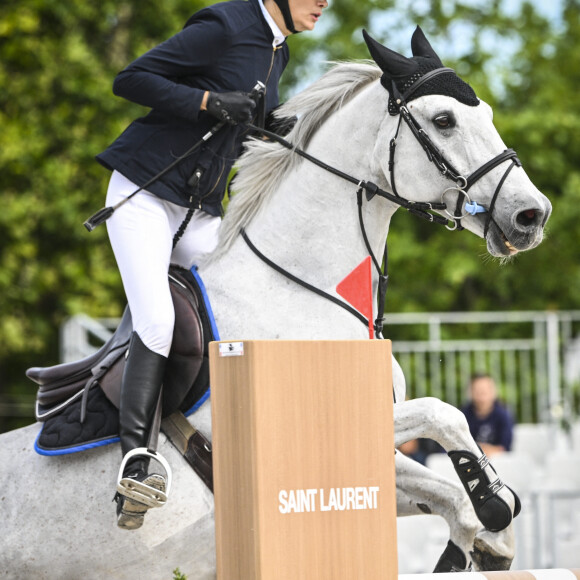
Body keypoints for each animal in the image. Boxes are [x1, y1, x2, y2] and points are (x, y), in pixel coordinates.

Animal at [0, 29, 552, 576]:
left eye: (488, 115)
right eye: (443, 120)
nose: (532, 215)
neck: (301, 288)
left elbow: (455, 501)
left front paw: (488, 531)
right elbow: (447, 414)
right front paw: (495, 503)